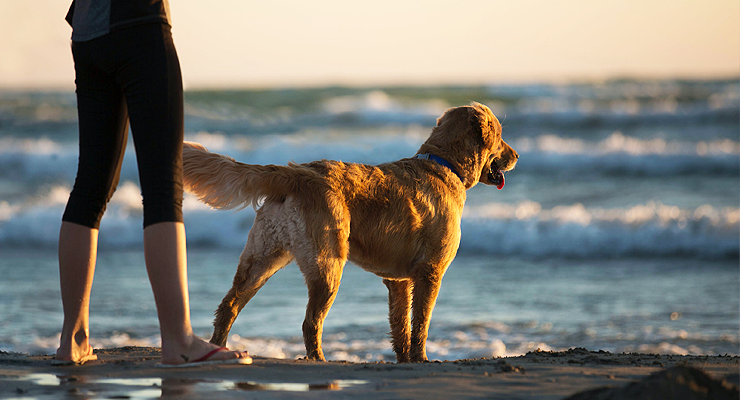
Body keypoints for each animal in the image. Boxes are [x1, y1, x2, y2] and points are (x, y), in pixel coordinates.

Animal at [184, 102, 516, 362]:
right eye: (501, 136)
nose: (516, 156)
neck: (444, 164)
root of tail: (296, 172)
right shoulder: (430, 271)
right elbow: (420, 323)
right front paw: (421, 359)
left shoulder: (398, 280)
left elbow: (401, 325)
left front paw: (404, 360)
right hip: (327, 263)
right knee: (310, 322)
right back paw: (318, 360)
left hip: (263, 257)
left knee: (228, 305)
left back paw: (219, 349)